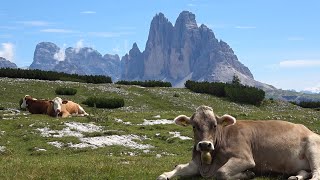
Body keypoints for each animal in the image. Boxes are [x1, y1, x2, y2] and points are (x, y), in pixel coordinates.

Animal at [158, 105, 320, 180]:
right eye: (193, 126)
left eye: (215, 125)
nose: (204, 145)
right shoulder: (197, 164)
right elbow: (177, 168)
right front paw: (165, 175)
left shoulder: (245, 158)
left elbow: (221, 172)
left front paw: (247, 174)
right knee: (305, 172)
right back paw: (295, 177)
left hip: (313, 149)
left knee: (316, 174)